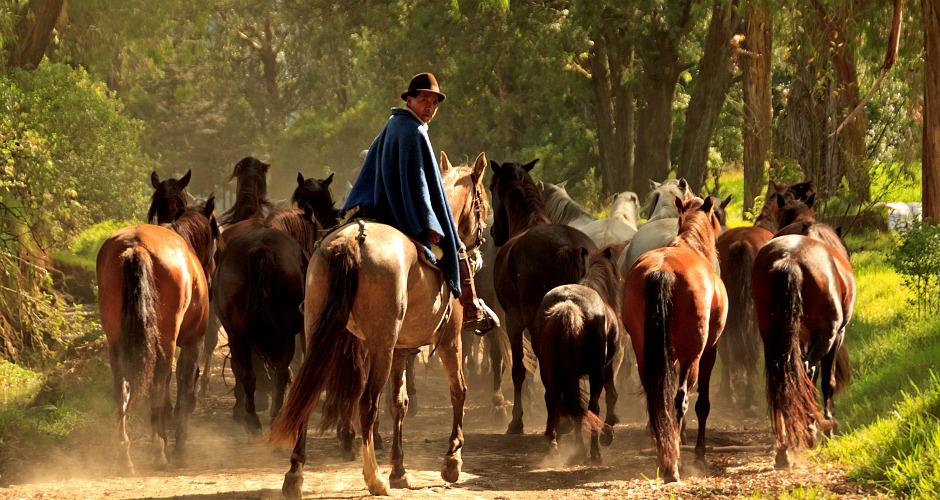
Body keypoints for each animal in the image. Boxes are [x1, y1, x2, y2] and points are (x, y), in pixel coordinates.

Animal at [96, 198, 220, 472]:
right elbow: (183, 383)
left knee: (120, 387)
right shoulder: (193, 342)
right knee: (158, 383)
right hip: (166, 340)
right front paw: (180, 445)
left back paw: (124, 455)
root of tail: (135, 246)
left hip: (117, 342)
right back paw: (158, 450)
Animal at [266, 151, 492, 496]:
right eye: (480, 202)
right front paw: (452, 460)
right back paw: (373, 476)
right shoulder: (448, 339)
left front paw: (400, 470)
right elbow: (458, 390)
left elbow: (398, 402)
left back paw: (295, 474)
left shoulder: (400, 349)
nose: (478, 250)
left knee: (306, 394)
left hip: (321, 336)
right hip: (379, 345)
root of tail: (352, 241)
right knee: (367, 404)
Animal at [532, 244, 620, 462]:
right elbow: (611, 396)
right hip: (595, 372)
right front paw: (607, 434)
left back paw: (554, 444)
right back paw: (594, 451)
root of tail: (568, 303)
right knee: (592, 407)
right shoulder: (606, 368)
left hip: (549, 369)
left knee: (555, 400)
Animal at [624, 196, 728, 484]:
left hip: (644, 351)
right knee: (680, 399)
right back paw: (674, 465)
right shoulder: (709, 351)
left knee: (656, 397)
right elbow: (702, 404)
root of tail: (662, 271)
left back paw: (664, 454)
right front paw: (699, 454)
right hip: (693, 355)